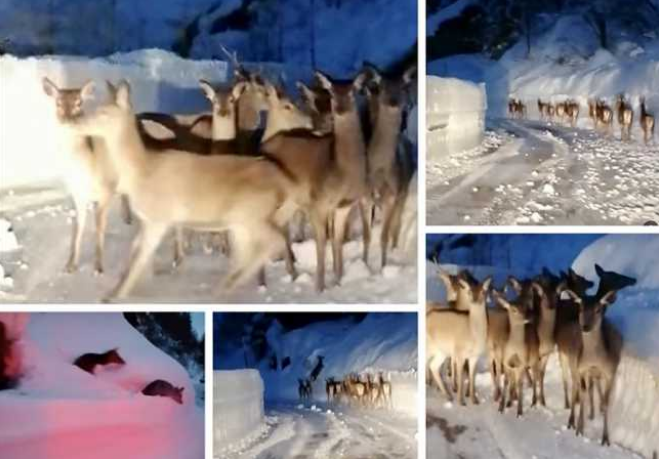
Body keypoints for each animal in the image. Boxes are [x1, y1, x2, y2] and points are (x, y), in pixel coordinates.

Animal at [62, 80, 300, 301]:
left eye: (102, 113)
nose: (72, 122)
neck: (142, 169)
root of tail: (285, 182)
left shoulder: (159, 219)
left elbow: (139, 259)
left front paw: (114, 295)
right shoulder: (149, 220)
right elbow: (136, 253)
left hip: (251, 214)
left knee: (274, 241)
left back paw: (226, 287)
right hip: (242, 223)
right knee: (251, 251)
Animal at [426, 275, 492, 405]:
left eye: (483, 291)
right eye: (469, 291)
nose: (475, 300)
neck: (473, 333)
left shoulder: (474, 356)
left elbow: (471, 376)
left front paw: (474, 400)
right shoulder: (459, 352)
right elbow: (460, 376)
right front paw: (461, 401)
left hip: (441, 351)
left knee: (433, 366)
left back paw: (448, 396)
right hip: (428, 347)